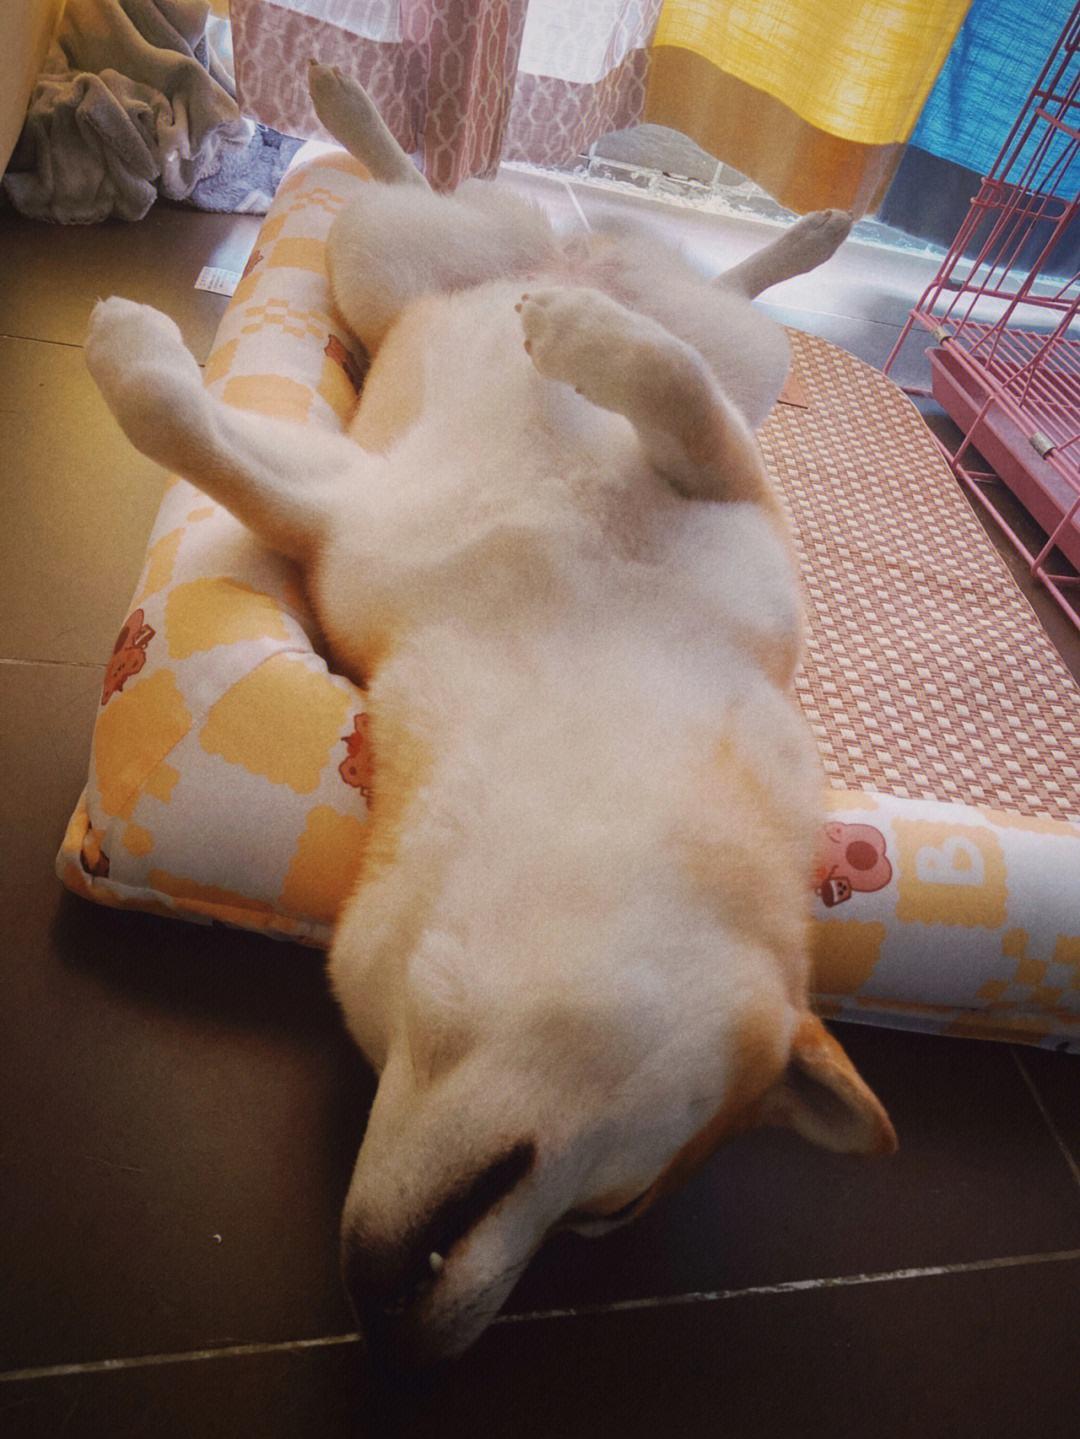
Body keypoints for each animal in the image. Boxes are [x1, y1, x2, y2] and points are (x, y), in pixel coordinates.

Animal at [84, 64, 895, 1372]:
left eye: (605, 1217)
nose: (420, 1346)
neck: (573, 656)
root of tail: (566, 238)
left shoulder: (346, 515)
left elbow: (209, 445)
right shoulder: (724, 511)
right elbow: (675, 397)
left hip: (704, 344)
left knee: (708, 299)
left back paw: (775, 243)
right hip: (391, 264)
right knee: (476, 217)